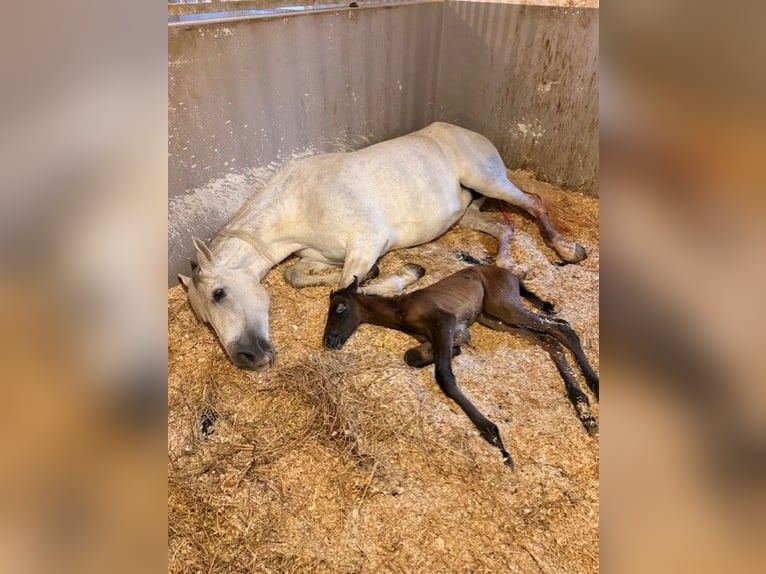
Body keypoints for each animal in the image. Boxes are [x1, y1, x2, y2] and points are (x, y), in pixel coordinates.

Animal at [179, 122, 587, 370]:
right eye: (202, 319)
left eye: (218, 293)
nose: (246, 357)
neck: (300, 204)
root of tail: (470, 133)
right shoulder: (314, 256)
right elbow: (301, 276)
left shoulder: (366, 241)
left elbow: (351, 287)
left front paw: (404, 275)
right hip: (465, 212)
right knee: (502, 226)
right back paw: (507, 263)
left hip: (489, 181)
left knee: (532, 203)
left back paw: (568, 250)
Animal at [322, 265, 599, 468]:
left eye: (340, 308)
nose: (329, 341)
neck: (400, 309)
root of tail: (512, 275)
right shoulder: (443, 334)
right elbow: (413, 356)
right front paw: (453, 351)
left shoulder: (443, 321)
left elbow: (444, 376)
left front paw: (496, 439)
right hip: (494, 318)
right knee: (550, 341)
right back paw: (583, 408)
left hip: (504, 306)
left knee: (562, 327)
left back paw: (593, 388)